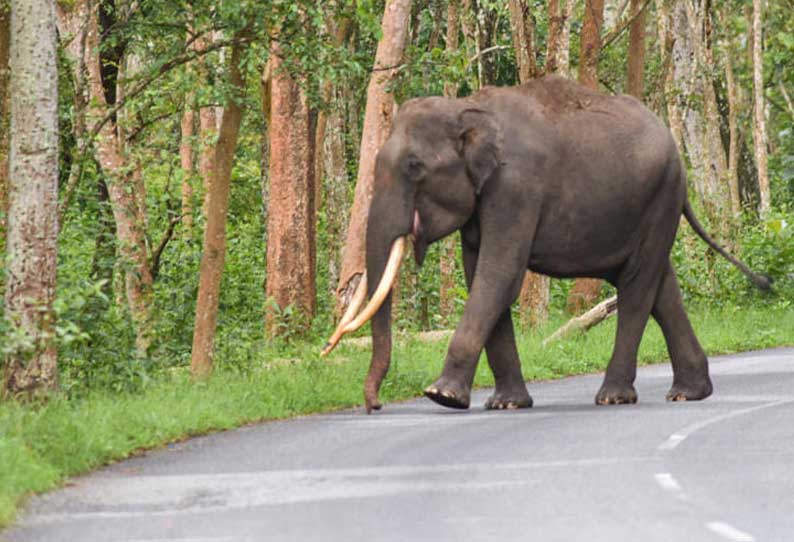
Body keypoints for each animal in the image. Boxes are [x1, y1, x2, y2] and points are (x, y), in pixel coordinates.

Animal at [320, 75, 768, 416]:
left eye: (414, 167)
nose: (374, 405)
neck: (467, 108)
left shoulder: (516, 188)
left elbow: (500, 276)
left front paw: (442, 396)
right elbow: (480, 275)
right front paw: (505, 404)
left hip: (661, 197)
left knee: (638, 285)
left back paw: (613, 397)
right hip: (648, 206)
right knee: (660, 283)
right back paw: (688, 393)